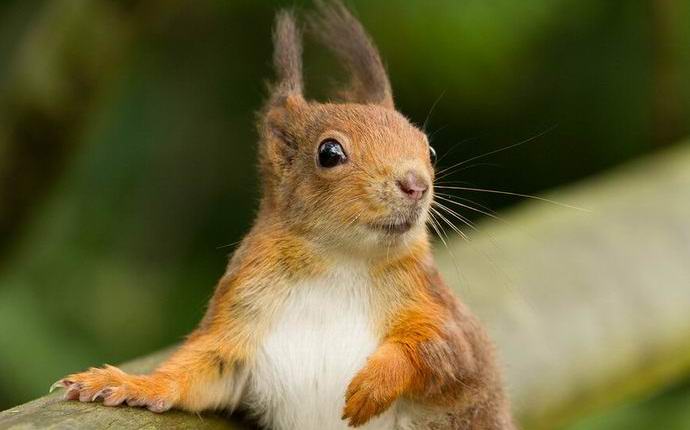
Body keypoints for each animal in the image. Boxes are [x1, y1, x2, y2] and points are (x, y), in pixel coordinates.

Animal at [53, 1, 512, 428]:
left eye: (428, 150)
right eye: (329, 153)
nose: (416, 184)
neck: (340, 261)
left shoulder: (442, 314)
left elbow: (442, 351)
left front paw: (373, 384)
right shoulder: (240, 313)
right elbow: (196, 370)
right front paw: (128, 383)